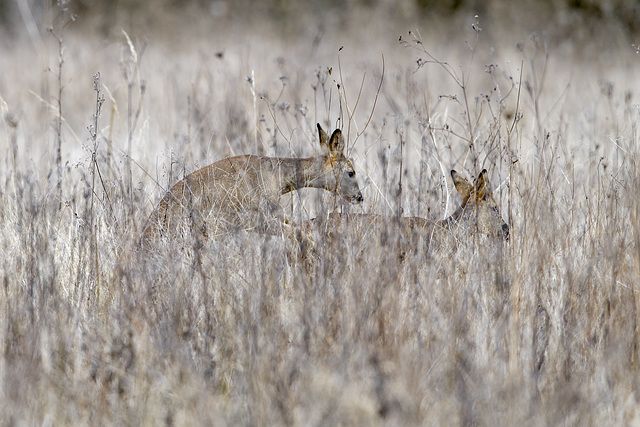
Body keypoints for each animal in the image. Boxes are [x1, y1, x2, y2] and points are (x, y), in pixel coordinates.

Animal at [140, 123, 362, 247]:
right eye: (351, 172)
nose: (360, 197)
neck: (276, 176)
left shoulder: (275, 212)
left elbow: (299, 226)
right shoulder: (253, 217)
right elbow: (298, 233)